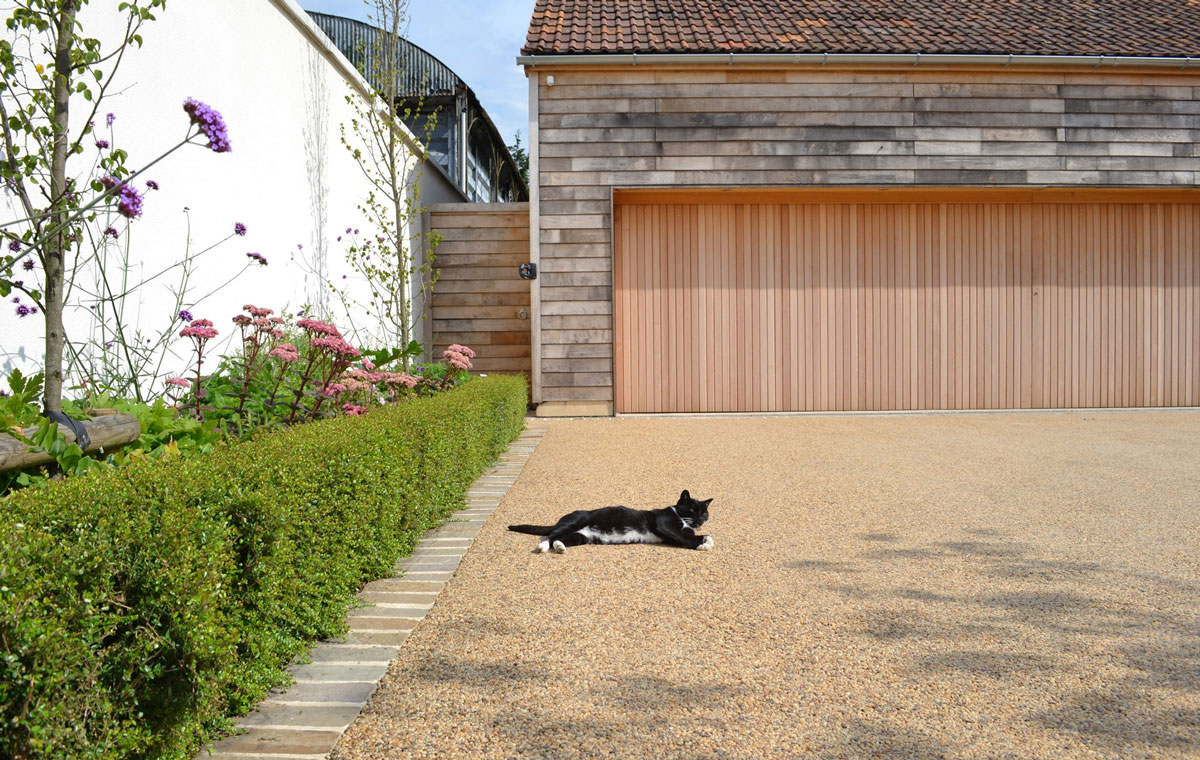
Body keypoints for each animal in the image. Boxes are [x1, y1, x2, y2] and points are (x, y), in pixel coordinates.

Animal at [506, 492, 710, 552]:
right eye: (692, 510)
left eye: (705, 513)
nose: (700, 519)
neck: (682, 519)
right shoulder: (664, 524)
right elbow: (682, 537)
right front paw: (703, 543)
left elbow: (684, 535)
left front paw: (701, 537)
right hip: (576, 520)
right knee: (550, 535)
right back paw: (543, 547)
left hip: (581, 536)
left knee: (561, 538)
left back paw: (559, 547)